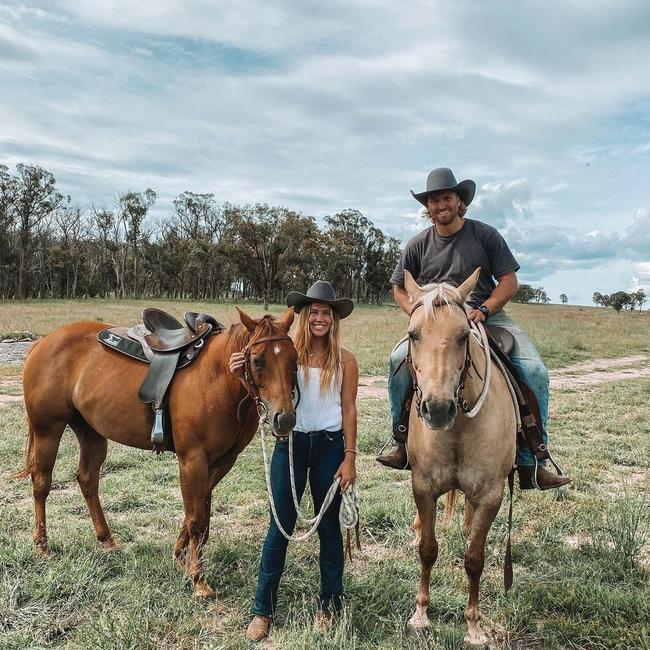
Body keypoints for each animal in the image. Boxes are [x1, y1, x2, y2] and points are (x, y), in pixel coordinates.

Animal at [13, 306, 296, 596]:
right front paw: (198, 579)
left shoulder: (221, 462)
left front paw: (181, 556)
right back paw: (42, 545)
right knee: (42, 484)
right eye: (258, 361)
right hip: (48, 430)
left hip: (91, 432)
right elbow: (196, 518)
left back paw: (107, 540)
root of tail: (43, 342)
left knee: (87, 480)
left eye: (294, 359)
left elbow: (200, 515)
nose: (284, 419)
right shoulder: (192, 459)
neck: (218, 378)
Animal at [402, 268, 512, 644]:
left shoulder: (491, 495)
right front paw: (420, 614)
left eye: (464, 336)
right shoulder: (422, 486)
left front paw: (474, 625)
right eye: (413, 335)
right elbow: (428, 549)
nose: (437, 409)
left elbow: (474, 559)